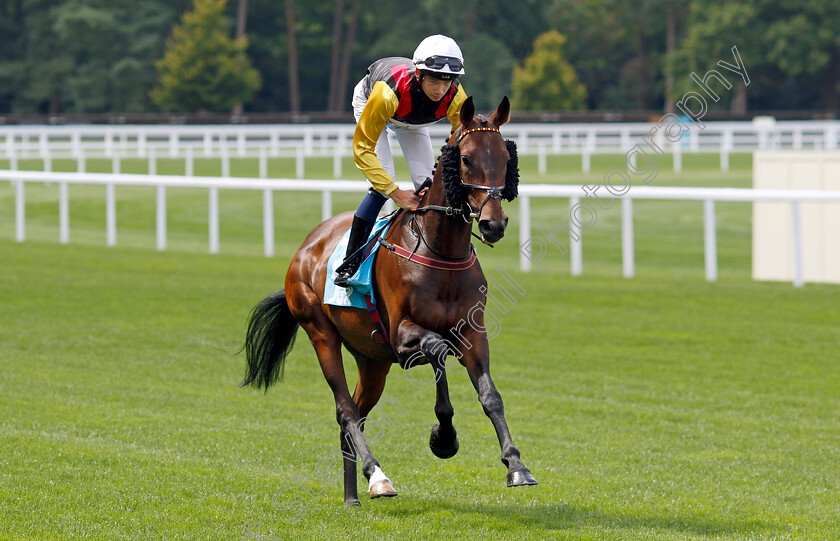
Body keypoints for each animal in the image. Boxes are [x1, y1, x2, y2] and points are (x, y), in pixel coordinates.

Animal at [243, 95, 540, 504]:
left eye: (506, 158)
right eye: (465, 158)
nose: (493, 224)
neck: (441, 251)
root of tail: (307, 246)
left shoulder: (472, 334)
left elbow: (490, 395)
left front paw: (516, 465)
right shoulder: (402, 337)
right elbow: (436, 350)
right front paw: (444, 437)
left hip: (372, 362)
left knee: (355, 414)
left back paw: (353, 495)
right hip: (320, 332)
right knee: (346, 410)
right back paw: (377, 476)